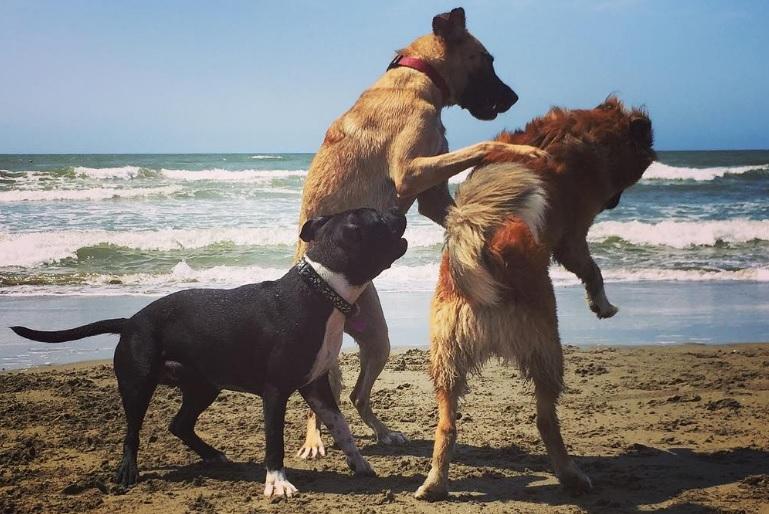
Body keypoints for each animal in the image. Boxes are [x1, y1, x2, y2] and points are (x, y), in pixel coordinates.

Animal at [10, 207, 408, 496]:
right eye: (378, 218)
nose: (398, 211)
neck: (321, 290)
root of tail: (130, 321)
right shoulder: (276, 391)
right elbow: (274, 442)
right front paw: (277, 483)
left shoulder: (315, 386)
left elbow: (342, 427)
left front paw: (359, 463)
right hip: (138, 384)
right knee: (133, 431)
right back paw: (128, 470)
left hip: (203, 385)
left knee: (179, 424)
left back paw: (213, 455)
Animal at [292, 7, 544, 456]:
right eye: (487, 60)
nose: (514, 98)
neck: (417, 76)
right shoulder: (411, 171)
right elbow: (482, 145)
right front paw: (522, 150)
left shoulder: (430, 196)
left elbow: (458, 210)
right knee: (322, 397)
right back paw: (314, 438)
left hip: (378, 338)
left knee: (356, 394)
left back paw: (383, 431)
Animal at [414, 95, 656, 496]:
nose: (615, 203)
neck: (589, 132)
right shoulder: (573, 237)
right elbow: (592, 269)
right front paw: (602, 304)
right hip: (547, 347)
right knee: (545, 420)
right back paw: (571, 475)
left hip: (447, 356)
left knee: (447, 424)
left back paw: (434, 483)